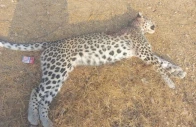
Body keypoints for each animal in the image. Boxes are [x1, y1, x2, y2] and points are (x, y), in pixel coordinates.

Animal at [0, 12, 186, 127]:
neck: (135, 26)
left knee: (43, 97)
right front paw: (170, 82)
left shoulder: (145, 54)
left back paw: (44, 121)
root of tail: (51, 43)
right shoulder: (145, 53)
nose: (156, 24)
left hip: (60, 73)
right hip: (57, 71)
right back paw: (34, 118)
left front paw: (179, 71)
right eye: (150, 18)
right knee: (37, 91)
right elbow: (160, 67)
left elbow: (164, 62)